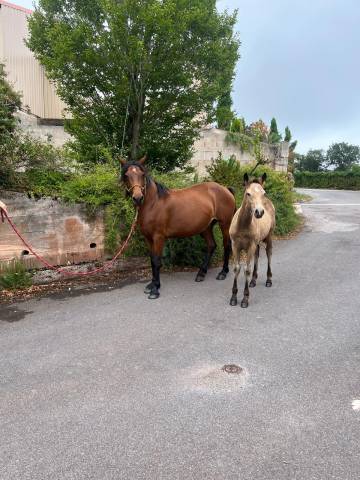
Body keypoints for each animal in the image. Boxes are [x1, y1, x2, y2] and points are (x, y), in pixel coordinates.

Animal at [119, 156, 235, 298]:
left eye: (142, 175)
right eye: (126, 175)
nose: (138, 198)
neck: (153, 203)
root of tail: (225, 189)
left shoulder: (158, 237)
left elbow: (157, 261)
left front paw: (155, 289)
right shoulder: (148, 238)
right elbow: (152, 260)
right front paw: (151, 284)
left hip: (225, 224)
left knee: (227, 245)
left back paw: (223, 272)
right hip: (206, 227)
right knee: (211, 245)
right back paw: (201, 273)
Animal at [231, 172, 276, 308]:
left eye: (263, 193)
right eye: (248, 193)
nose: (259, 212)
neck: (242, 225)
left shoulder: (250, 245)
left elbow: (247, 269)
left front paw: (245, 299)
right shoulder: (235, 245)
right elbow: (236, 268)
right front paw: (233, 297)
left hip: (269, 235)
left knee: (268, 253)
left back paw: (268, 279)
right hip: (257, 242)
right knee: (257, 254)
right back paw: (253, 280)